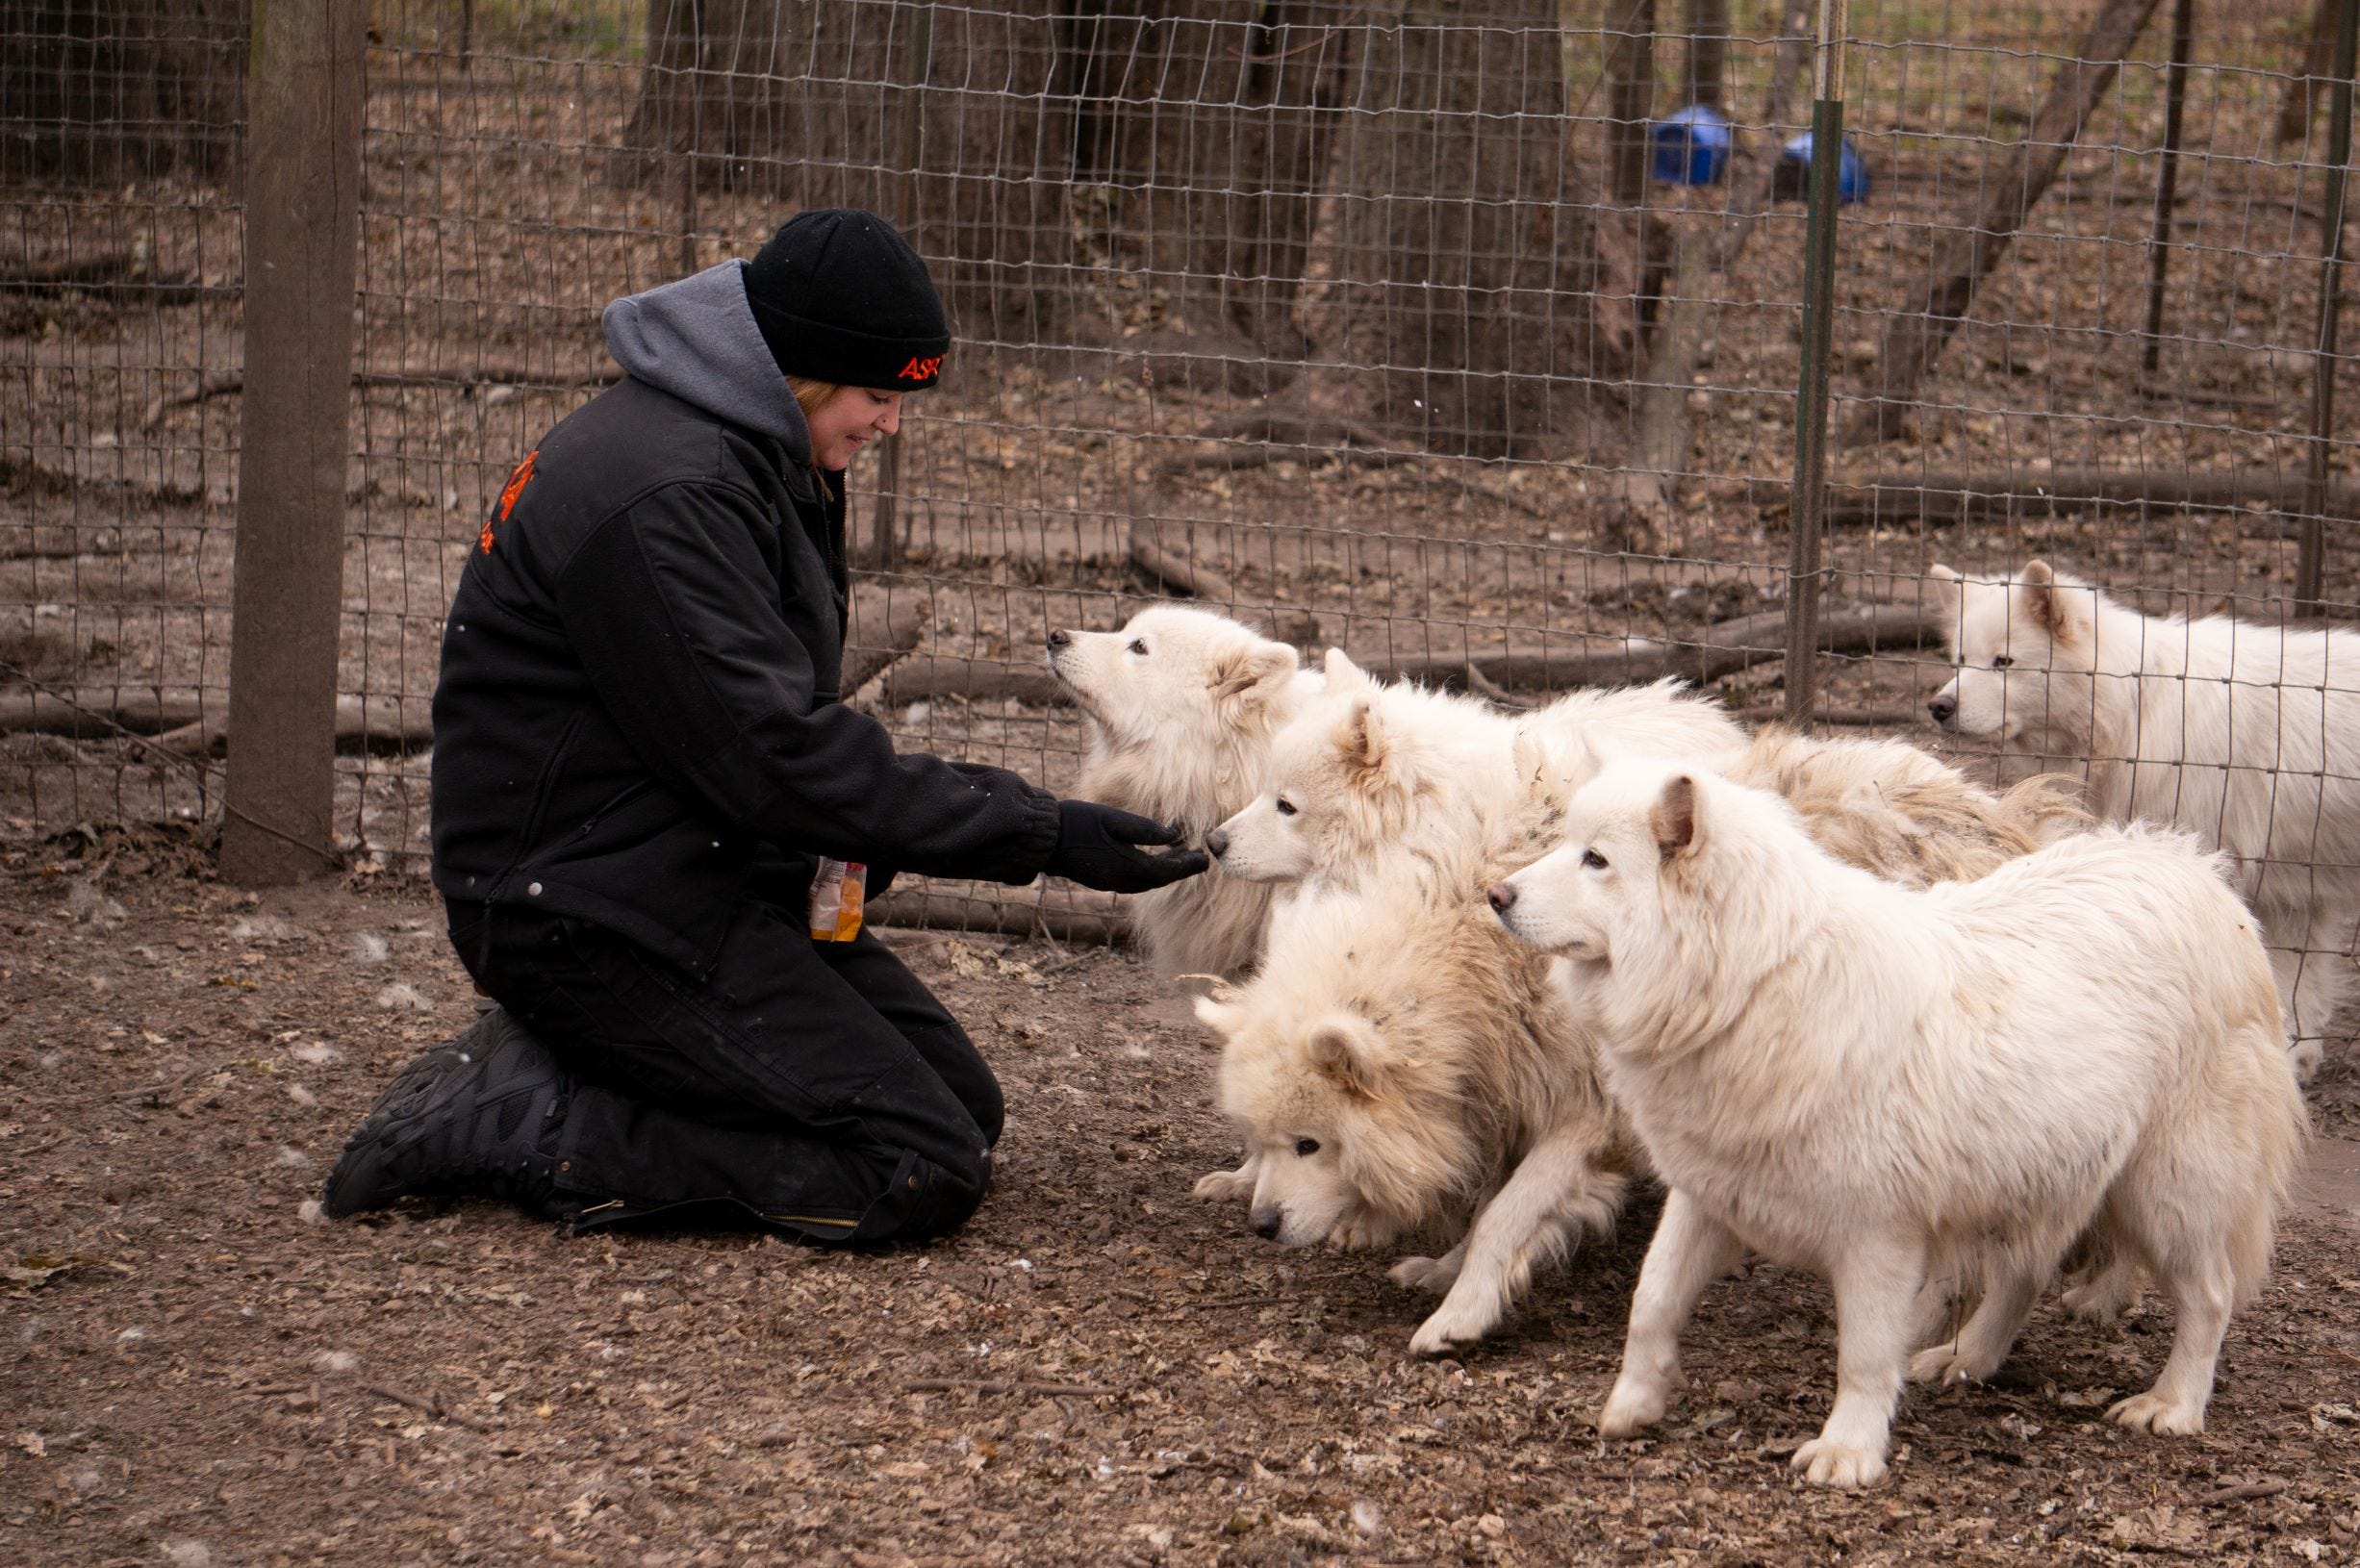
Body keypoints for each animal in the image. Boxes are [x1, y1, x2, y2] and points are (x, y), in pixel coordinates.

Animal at [1491, 765, 2303, 1492]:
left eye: (1594, 860)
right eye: (1569, 846)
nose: (1494, 895)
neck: (1751, 983)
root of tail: (2192, 869)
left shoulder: (1876, 1236)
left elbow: (1860, 1355)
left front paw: (1847, 1454)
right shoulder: (1706, 1197)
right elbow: (1651, 1300)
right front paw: (1633, 1403)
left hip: (2166, 1195)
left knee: (2209, 1298)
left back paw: (2172, 1405)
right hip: (2040, 1178)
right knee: (2023, 1274)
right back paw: (1967, 1359)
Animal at [1925, 557, 2360, 1086]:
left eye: (2003, 662)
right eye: (1961, 659)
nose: (1939, 707)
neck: (2134, 704)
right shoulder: (2295, 898)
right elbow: (2300, 992)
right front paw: (2296, 1061)